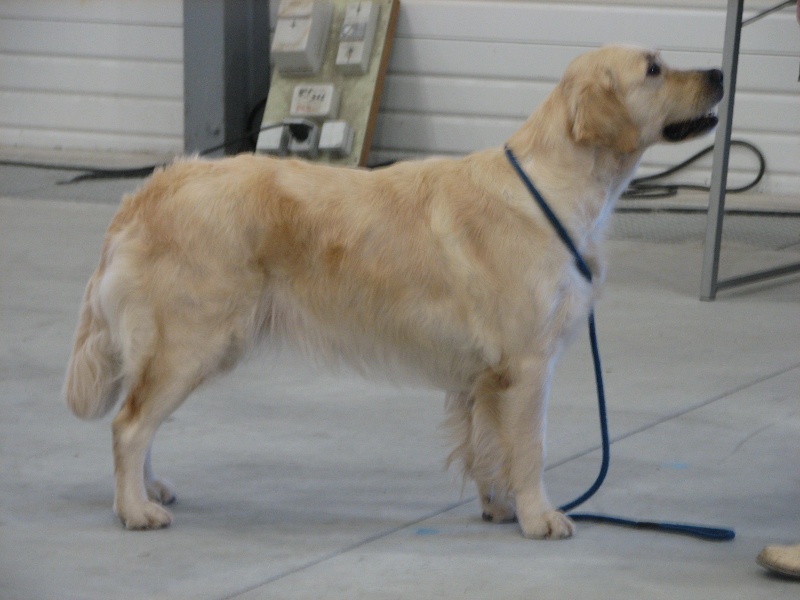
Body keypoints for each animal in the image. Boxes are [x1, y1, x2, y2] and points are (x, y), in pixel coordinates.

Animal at [64, 45, 723, 538]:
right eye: (654, 68)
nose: (718, 75)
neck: (553, 187)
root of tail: (149, 190)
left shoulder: (489, 376)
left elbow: (490, 447)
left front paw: (501, 508)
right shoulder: (529, 363)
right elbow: (530, 448)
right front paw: (541, 516)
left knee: (139, 417)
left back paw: (147, 489)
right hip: (193, 339)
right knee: (129, 424)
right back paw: (136, 510)